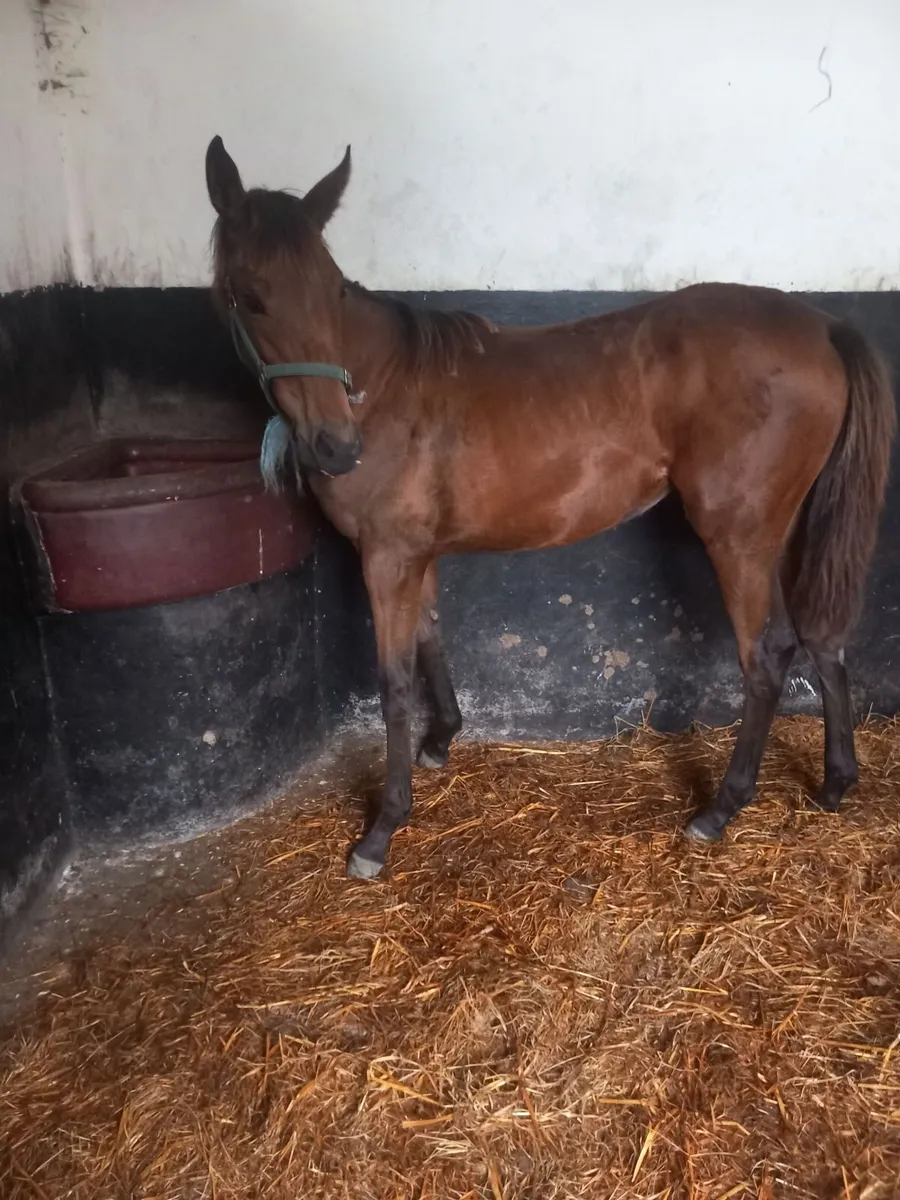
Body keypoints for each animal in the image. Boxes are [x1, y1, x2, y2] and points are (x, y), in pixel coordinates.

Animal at [204, 136, 895, 880]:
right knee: (821, 636)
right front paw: (441, 741)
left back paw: (719, 810)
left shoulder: (386, 557)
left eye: (332, 288)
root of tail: (824, 325)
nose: (337, 446)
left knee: (765, 662)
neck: (386, 388)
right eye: (252, 298)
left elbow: (393, 685)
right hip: (785, 531)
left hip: (738, 536)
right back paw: (835, 782)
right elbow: (432, 636)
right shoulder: (416, 553)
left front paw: (382, 828)